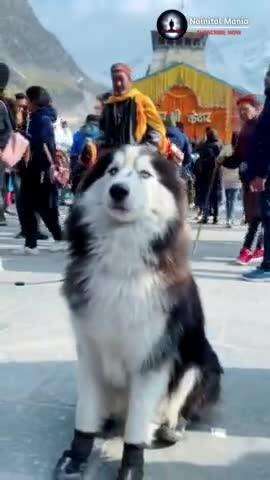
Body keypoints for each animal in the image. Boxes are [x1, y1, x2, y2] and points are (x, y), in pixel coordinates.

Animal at [53, 145, 223, 480]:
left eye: (145, 174)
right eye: (112, 171)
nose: (118, 190)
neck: (122, 268)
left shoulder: (152, 358)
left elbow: (136, 425)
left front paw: (131, 463)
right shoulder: (90, 349)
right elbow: (85, 412)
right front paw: (77, 454)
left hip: (199, 364)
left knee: (176, 403)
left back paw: (171, 427)